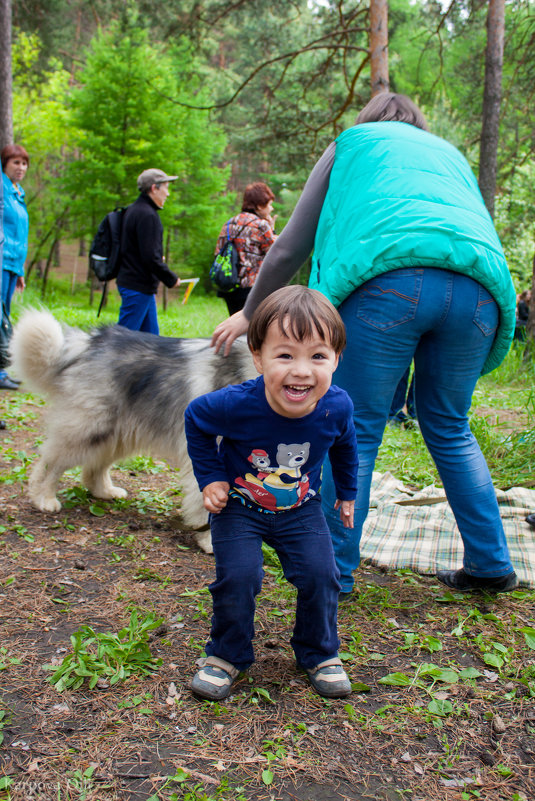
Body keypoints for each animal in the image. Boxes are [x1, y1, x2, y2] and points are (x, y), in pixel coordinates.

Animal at [9, 310, 256, 552]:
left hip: (117, 435)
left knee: (93, 468)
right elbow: (209, 503)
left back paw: (104, 491)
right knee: (50, 464)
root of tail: (91, 342)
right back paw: (44, 498)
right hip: (90, 429)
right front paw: (210, 541)